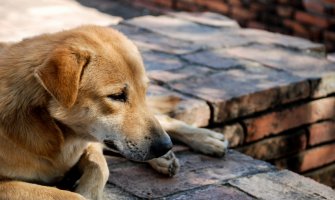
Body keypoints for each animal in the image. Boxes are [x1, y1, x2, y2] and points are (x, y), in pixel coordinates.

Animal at [0, 25, 228, 199]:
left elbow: (100, 168)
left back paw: (203, 140)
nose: (165, 146)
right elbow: (73, 194)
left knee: (160, 119)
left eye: (144, 90)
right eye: (117, 96)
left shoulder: (90, 143)